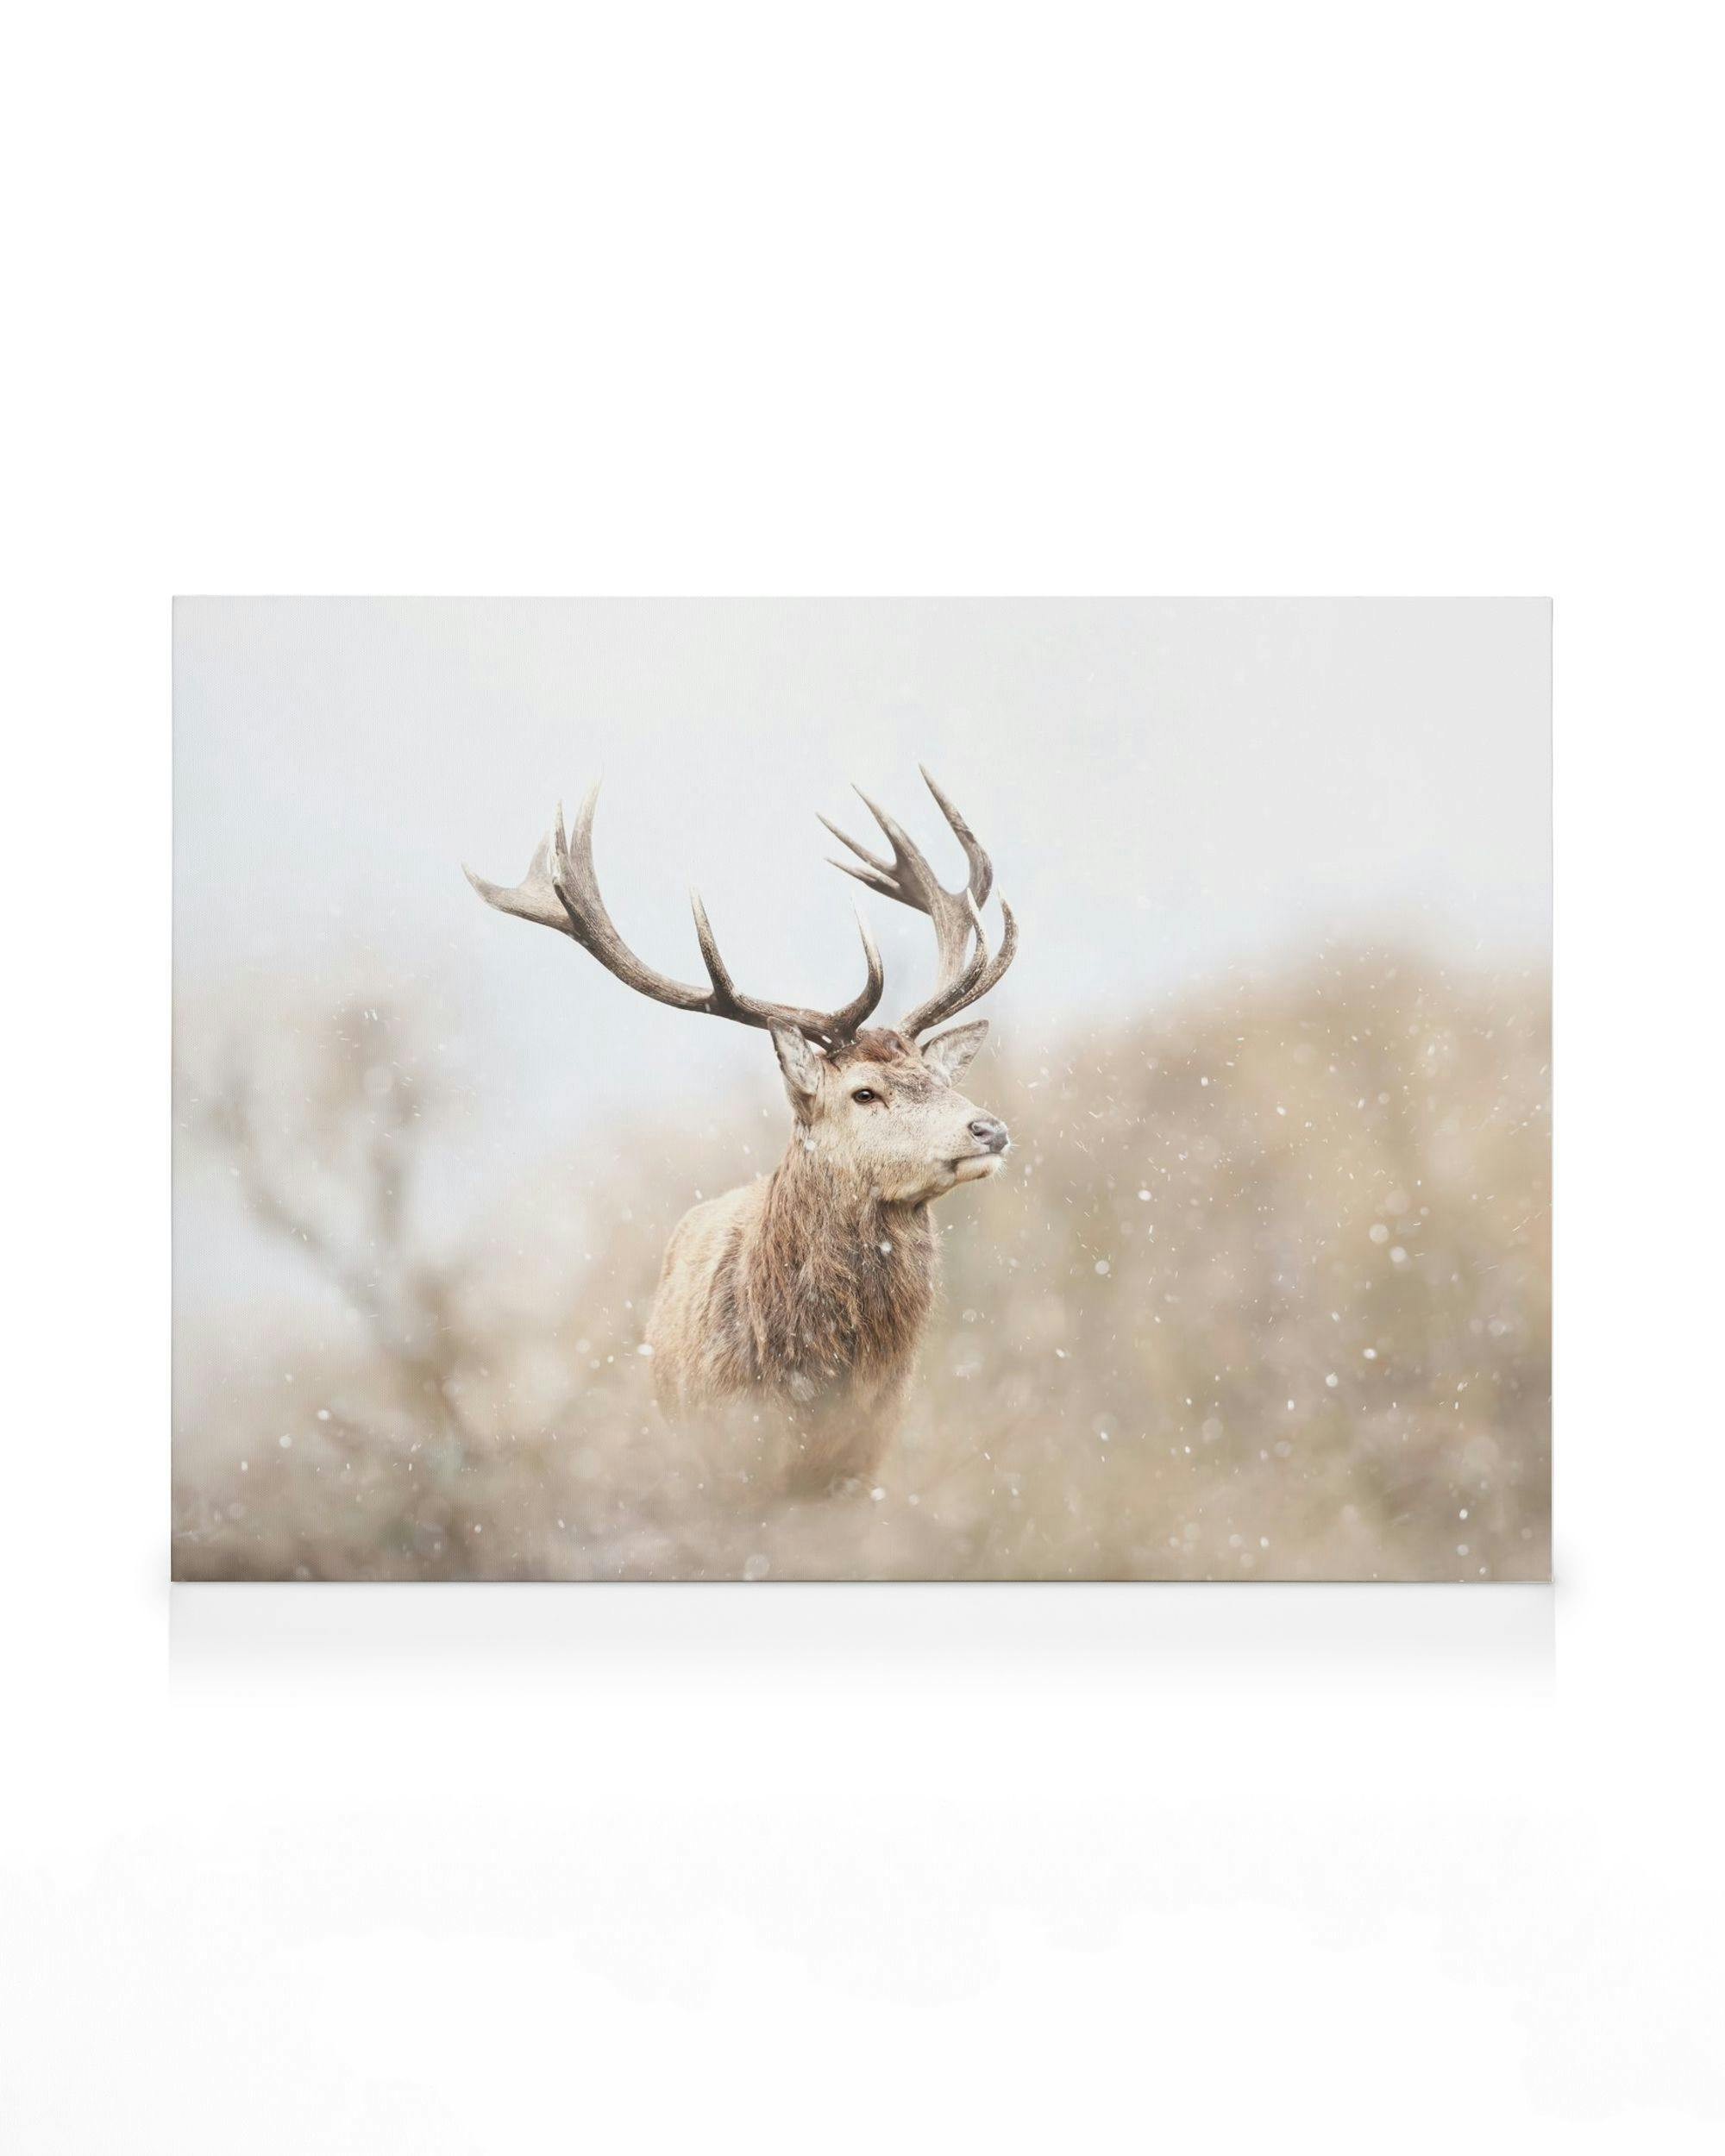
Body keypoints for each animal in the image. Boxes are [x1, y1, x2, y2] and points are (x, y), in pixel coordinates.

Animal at [465, 768, 1018, 1497]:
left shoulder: (864, 1459)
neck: (810, 1384)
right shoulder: (725, 1454)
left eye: (937, 1076)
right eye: (863, 1092)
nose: (989, 1128)